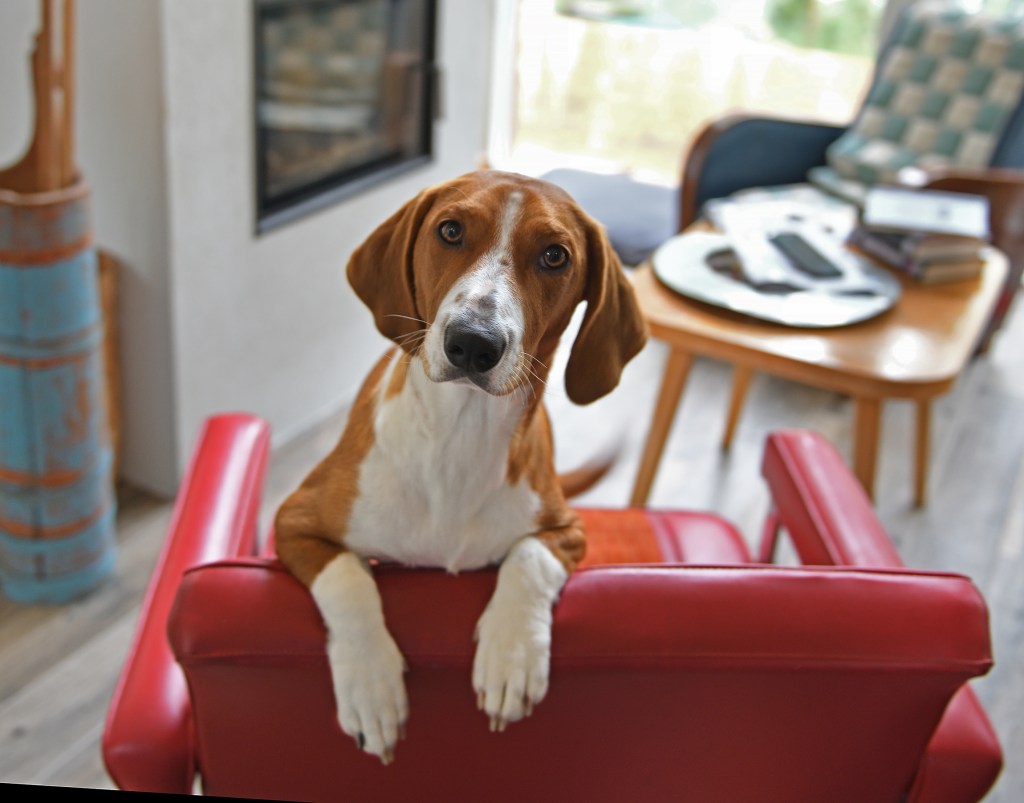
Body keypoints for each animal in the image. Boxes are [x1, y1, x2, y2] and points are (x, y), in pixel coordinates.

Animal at [276, 167, 643, 757]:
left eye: (555, 256)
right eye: (450, 231)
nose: (473, 343)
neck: (458, 439)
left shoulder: (567, 530)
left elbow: (528, 559)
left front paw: (512, 655)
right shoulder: (294, 521)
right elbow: (348, 578)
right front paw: (371, 684)